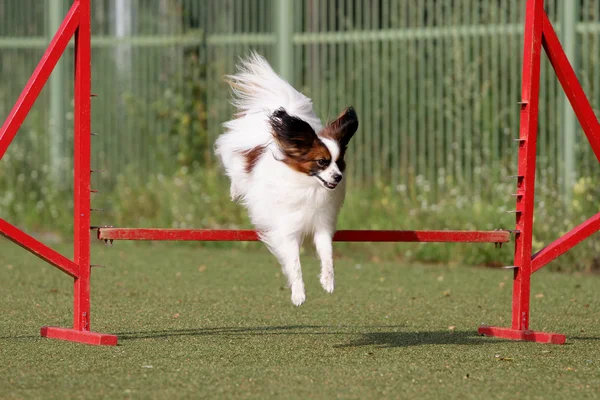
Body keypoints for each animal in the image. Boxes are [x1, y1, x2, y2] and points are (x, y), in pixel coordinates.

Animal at [214, 51, 356, 304]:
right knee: (236, 177)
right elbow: (295, 265)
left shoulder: (322, 225)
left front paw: (328, 281)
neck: (310, 187)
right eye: (322, 162)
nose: (338, 177)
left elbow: (328, 256)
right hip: (236, 163)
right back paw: (235, 191)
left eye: (339, 162)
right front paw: (298, 294)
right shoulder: (287, 230)